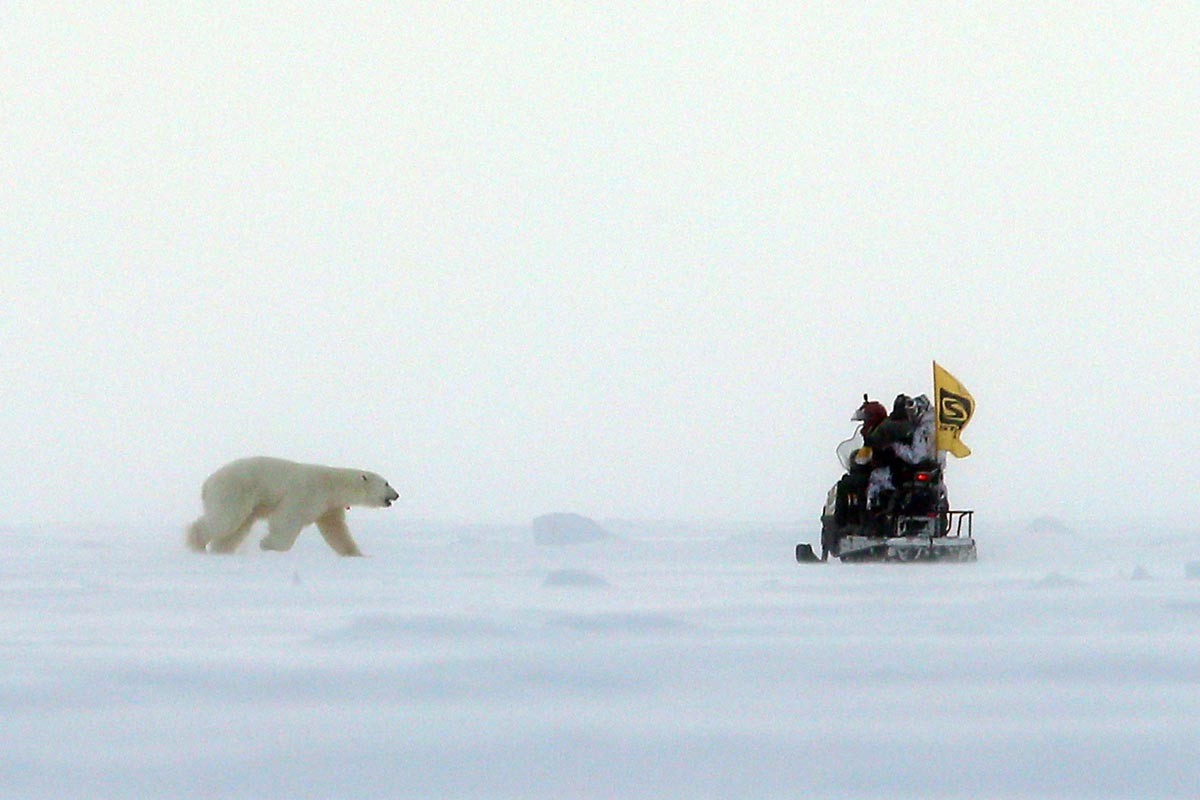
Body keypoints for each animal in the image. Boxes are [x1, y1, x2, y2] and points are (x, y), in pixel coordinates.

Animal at [183, 455, 398, 556]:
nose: (396, 495)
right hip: (235, 489)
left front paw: (357, 554)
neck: (333, 484)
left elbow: (336, 532)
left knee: (237, 529)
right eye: (387, 483)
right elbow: (287, 519)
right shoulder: (308, 493)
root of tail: (207, 483)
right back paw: (197, 544)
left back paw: (221, 551)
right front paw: (268, 545)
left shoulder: (329, 507)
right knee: (226, 519)